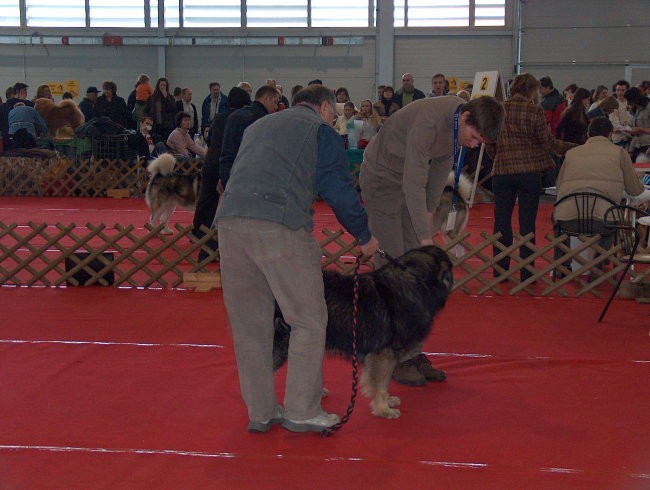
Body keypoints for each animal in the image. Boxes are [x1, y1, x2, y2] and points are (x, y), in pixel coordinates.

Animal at [272, 247, 450, 420]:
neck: (414, 279)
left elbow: (385, 382)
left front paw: (388, 401)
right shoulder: (383, 354)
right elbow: (380, 383)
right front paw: (383, 409)